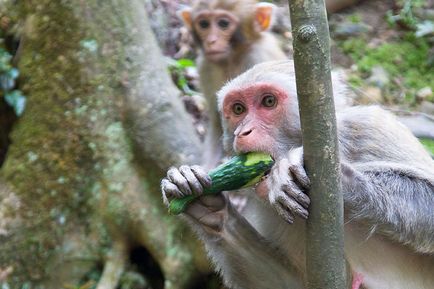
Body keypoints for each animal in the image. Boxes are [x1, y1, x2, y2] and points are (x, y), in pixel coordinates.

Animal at [162, 59, 434, 286]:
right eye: (238, 109)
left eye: (268, 102)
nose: (243, 132)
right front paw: (209, 209)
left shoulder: (370, 128)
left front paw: (312, 170)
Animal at [178, 0, 286, 168]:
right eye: (203, 24)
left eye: (223, 23)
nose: (211, 41)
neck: (233, 57)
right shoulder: (205, 66)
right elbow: (218, 123)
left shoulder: (259, 55)